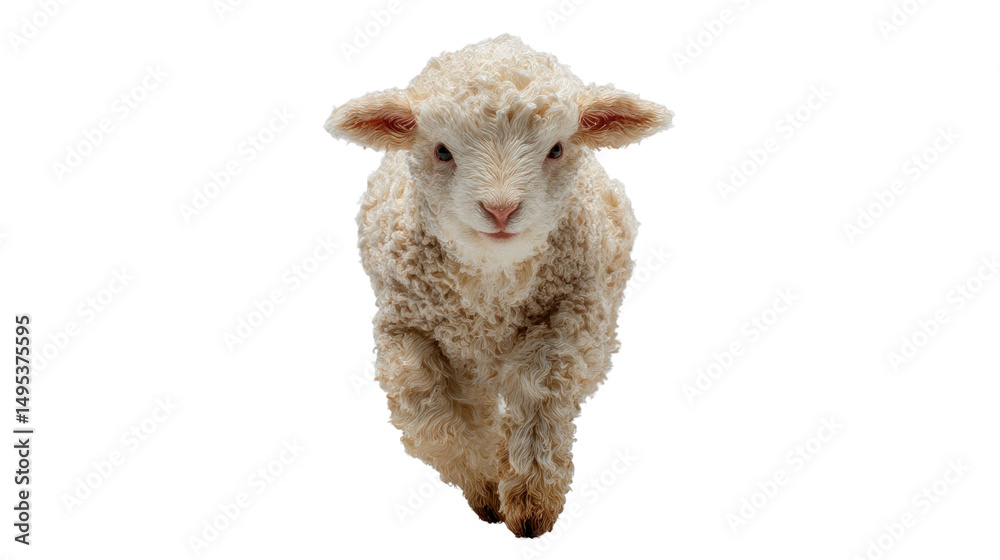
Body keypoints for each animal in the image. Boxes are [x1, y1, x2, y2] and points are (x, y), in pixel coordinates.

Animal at [325, 34, 672, 538]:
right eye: (442, 151)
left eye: (556, 149)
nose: (501, 210)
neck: (492, 288)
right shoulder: (405, 330)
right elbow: (432, 416)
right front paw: (486, 487)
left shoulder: (569, 320)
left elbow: (541, 399)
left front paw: (530, 502)